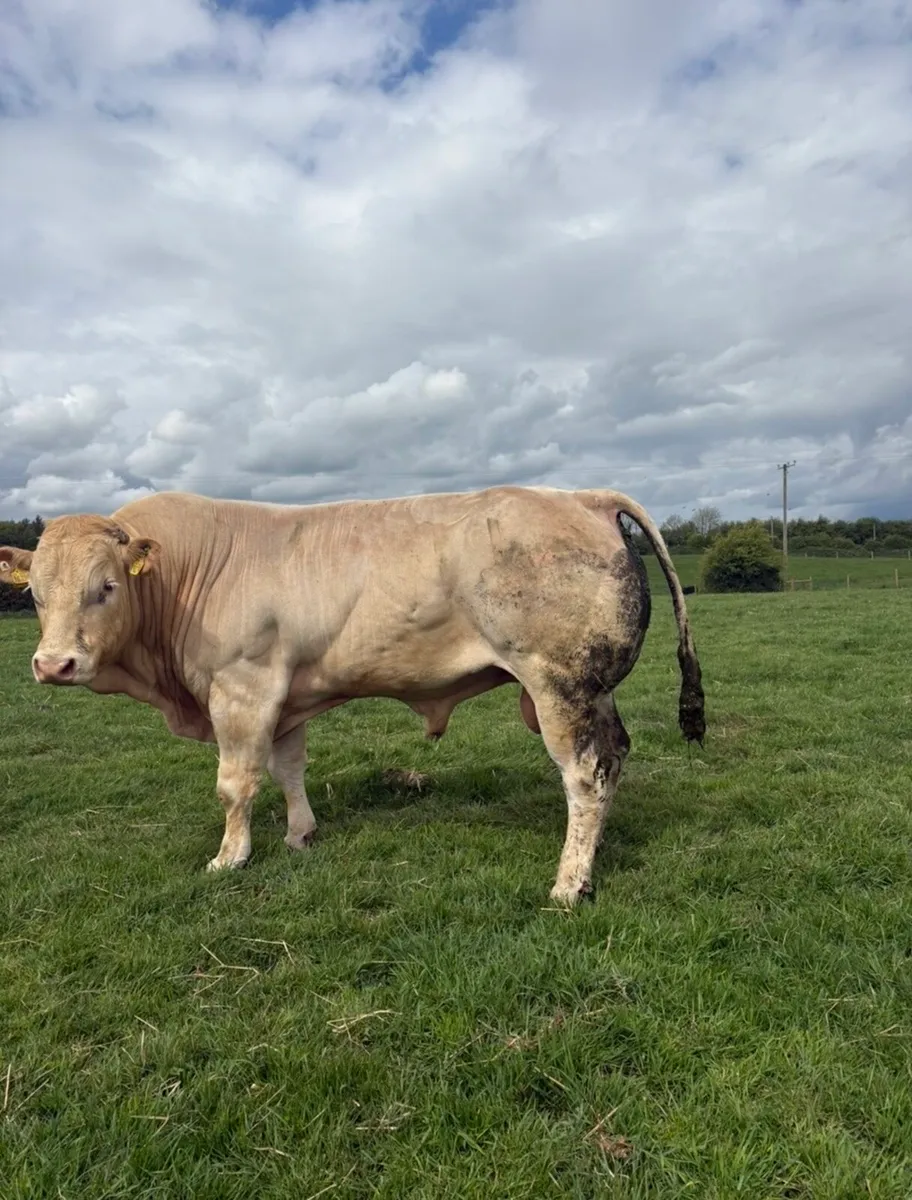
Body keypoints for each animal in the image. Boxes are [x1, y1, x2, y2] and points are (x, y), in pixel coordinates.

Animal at [0, 485, 704, 905]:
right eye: (34, 592)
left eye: (107, 587)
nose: (54, 664)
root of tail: (582, 496)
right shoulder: (283, 695)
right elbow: (287, 769)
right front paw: (299, 836)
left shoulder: (242, 688)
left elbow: (236, 783)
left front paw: (230, 858)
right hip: (595, 691)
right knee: (615, 759)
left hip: (559, 685)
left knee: (584, 775)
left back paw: (569, 883)